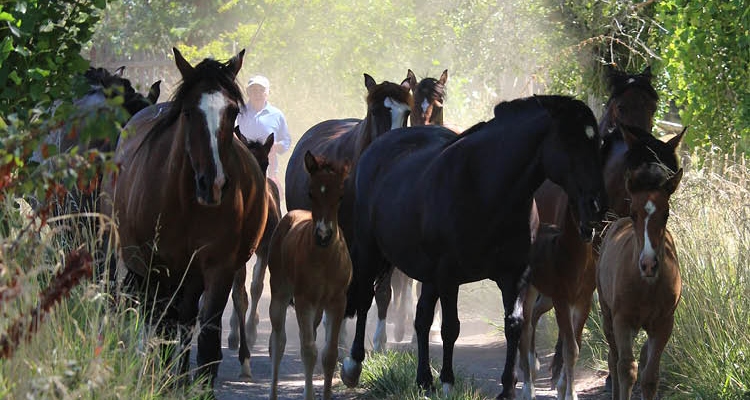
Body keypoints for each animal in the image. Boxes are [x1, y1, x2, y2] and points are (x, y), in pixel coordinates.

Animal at [101, 48, 268, 390]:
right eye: (189, 112)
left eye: (233, 112)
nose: (213, 184)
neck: (186, 203)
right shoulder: (159, 268)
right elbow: (163, 329)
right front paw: (162, 379)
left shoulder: (218, 267)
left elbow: (207, 338)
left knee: (188, 318)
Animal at [270, 151, 352, 400]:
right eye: (310, 193)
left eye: (341, 195)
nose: (324, 235)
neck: (325, 259)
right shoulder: (303, 300)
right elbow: (308, 352)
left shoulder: (337, 302)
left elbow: (329, 354)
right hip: (280, 293)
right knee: (278, 342)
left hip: (317, 309)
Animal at [344, 95, 608, 398]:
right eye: (570, 141)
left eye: (598, 142)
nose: (596, 205)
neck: (486, 189)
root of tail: (377, 147)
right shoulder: (449, 275)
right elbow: (450, 328)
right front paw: (448, 383)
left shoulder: (515, 276)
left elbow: (514, 325)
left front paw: (507, 388)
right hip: (369, 251)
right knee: (365, 298)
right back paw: (353, 365)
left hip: (428, 273)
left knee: (422, 319)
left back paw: (424, 379)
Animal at [600, 163, 688, 400]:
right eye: (634, 214)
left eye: (666, 214)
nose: (649, 264)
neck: (646, 287)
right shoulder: (622, 320)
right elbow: (626, 368)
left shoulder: (664, 323)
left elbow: (650, 375)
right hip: (607, 315)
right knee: (614, 359)